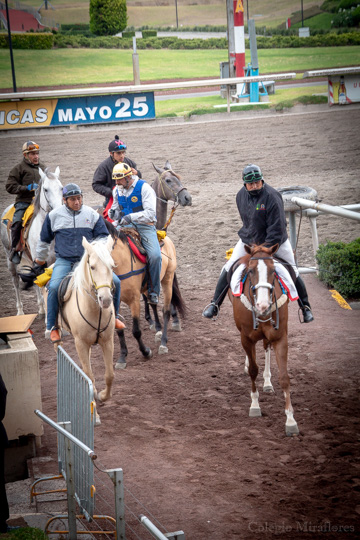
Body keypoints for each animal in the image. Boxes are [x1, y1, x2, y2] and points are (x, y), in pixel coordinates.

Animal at [0, 167, 63, 314]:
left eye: (61, 188)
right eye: (45, 189)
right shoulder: (40, 262)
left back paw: (40, 308)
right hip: (10, 258)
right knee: (16, 281)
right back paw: (20, 311)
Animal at [50, 238, 115, 424]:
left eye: (112, 266)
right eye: (92, 267)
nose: (105, 299)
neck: (94, 309)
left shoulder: (108, 341)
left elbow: (109, 375)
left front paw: (102, 395)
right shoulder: (80, 344)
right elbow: (89, 377)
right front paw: (95, 416)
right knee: (58, 348)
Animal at [105, 221, 186, 370]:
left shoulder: (134, 300)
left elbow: (136, 331)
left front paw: (146, 352)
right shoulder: (114, 301)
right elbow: (119, 329)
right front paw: (122, 358)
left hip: (167, 278)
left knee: (165, 310)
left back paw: (163, 342)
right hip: (150, 286)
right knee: (153, 302)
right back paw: (158, 330)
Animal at [231, 245, 298, 438]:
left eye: (273, 271)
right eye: (251, 271)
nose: (263, 305)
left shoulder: (280, 337)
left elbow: (284, 377)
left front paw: (290, 420)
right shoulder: (246, 338)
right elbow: (254, 370)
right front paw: (254, 405)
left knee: (266, 347)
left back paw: (267, 382)